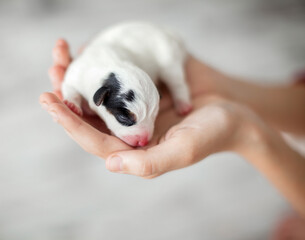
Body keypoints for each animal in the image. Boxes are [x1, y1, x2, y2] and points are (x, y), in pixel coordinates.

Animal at [61, 22, 190, 146]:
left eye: (154, 114)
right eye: (123, 118)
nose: (143, 142)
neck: (114, 63)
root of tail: (166, 32)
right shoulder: (75, 74)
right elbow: (69, 87)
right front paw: (72, 105)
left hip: (169, 59)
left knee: (177, 83)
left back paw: (183, 104)